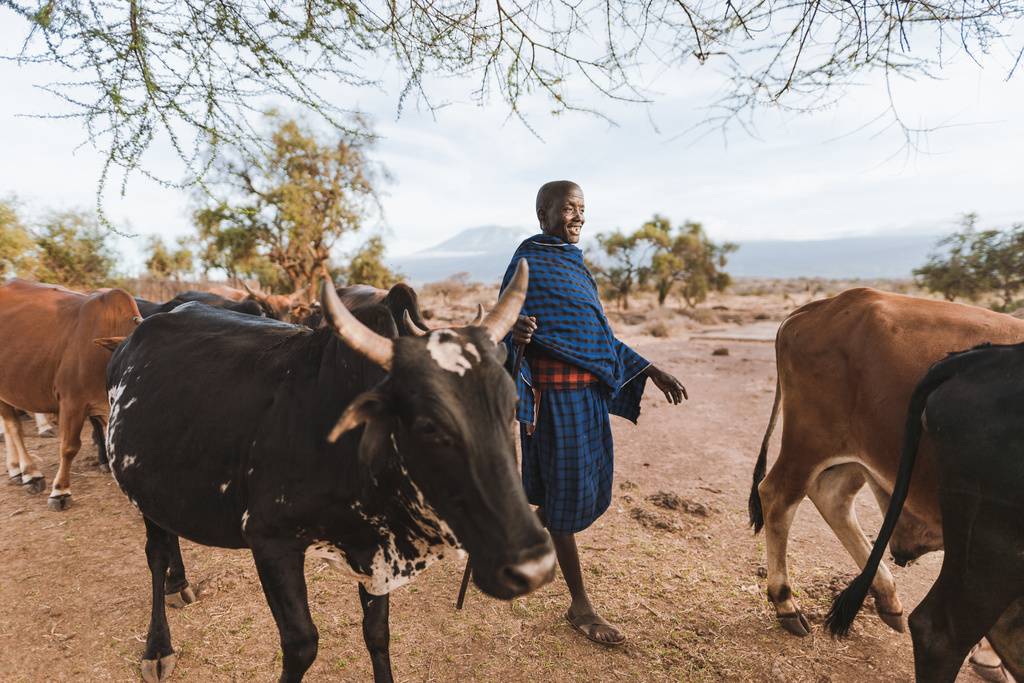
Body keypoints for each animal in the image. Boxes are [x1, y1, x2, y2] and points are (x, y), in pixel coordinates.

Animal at [0, 276, 140, 507]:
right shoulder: (72, 402)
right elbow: (69, 446)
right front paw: (60, 490)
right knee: (13, 427)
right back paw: (29, 472)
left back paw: (14, 470)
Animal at [105, 262, 552, 683]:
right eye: (428, 424)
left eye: (512, 405)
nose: (533, 566)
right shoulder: (269, 541)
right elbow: (301, 645)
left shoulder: (378, 553)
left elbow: (377, 631)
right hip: (136, 483)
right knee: (157, 552)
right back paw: (158, 646)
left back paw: (179, 584)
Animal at [749, 288, 1024, 647]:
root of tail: (827, 304)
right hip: (809, 442)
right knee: (777, 496)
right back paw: (786, 603)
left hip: (855, 451)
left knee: (832, 498)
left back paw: (887, 597)